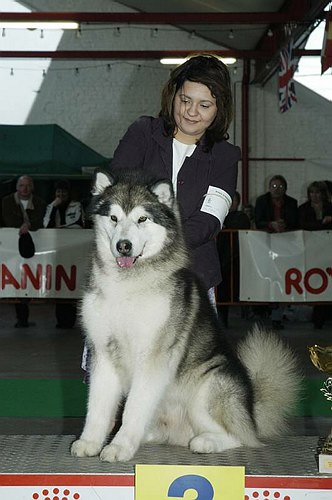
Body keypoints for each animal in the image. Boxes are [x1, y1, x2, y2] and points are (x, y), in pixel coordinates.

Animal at [71, 170, 300, 462]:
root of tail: (251, 415)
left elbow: (134, 408)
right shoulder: (103, 352)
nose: (124, 246)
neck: (127, 285)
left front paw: (120, 446)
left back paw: (206, 442)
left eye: (142, 219)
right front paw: (90, 441)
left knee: (240, 438)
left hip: (208, 387)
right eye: (113, 218)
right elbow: (97, 408)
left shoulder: (153, 357)